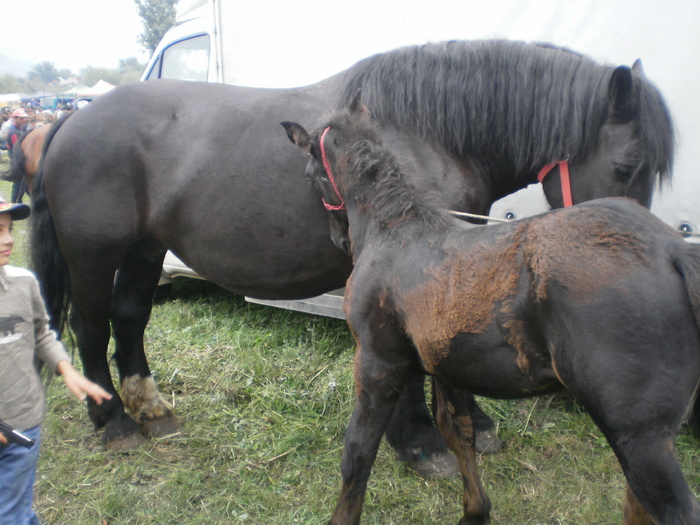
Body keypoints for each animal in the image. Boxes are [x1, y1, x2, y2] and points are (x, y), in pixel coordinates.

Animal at [31, 40, 672, 466]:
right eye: (626, 166)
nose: (636, 246)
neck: (425, 133)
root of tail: (69, 119)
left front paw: (471, 425)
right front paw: (422, 443)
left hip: (146, 247)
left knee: (130, 317)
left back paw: (151, 409)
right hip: (94, 255)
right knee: (90, 328)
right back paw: (113, 422)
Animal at [284, 105, 700, 524]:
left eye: (310, 176)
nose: (339, 239)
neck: (395, 230)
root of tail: (671, 250)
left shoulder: (377, 362)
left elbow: (357, 451)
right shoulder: (445, 366)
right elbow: (457, 432)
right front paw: (475, 511)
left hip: (640, 437)